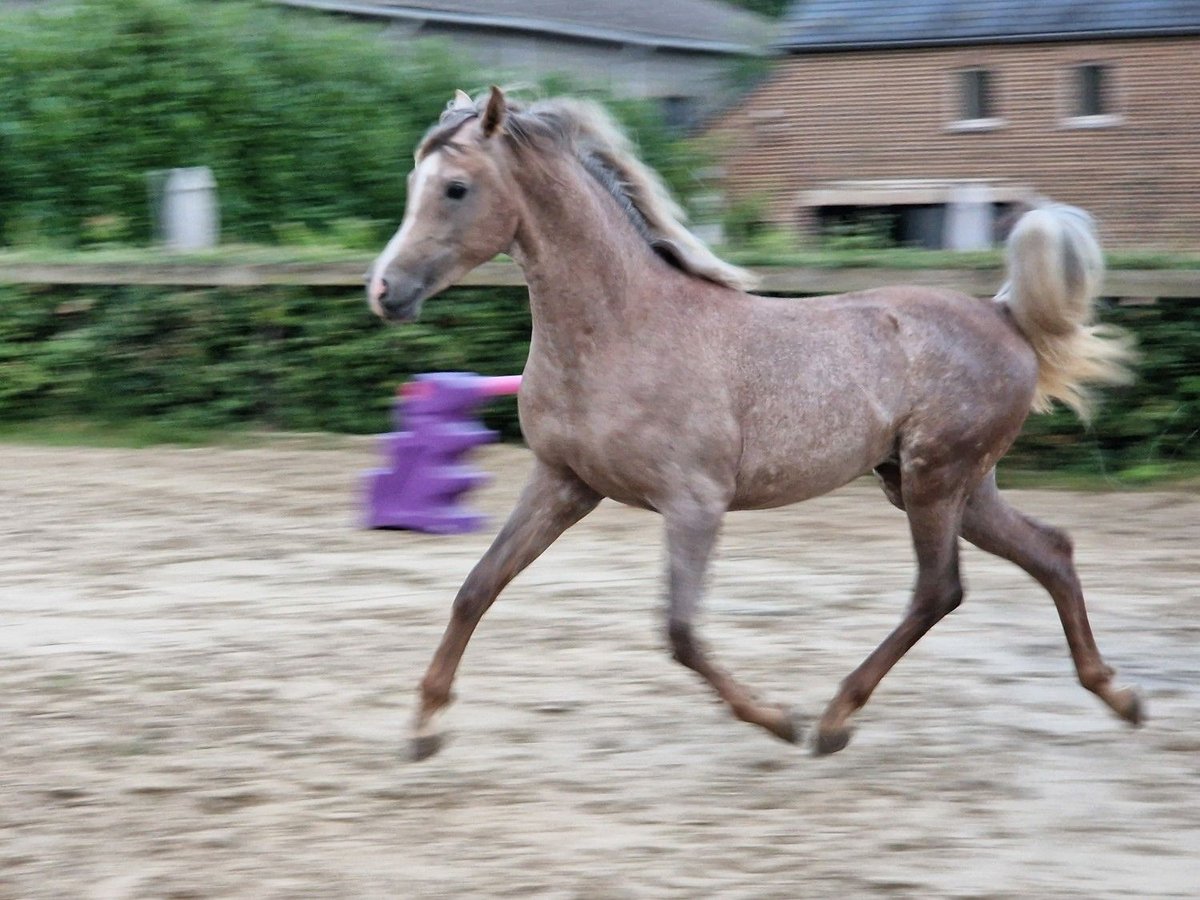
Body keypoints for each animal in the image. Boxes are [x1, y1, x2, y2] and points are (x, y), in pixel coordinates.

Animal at [364, 86, 1142, 763]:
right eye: (410, 180)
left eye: (455, 188)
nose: (385, 291)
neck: (620, 329)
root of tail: (1003, 314)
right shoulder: (562, 484)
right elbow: (477, 587)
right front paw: (424, 727)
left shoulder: (694, 504)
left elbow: (679, 632)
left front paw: (775, 719)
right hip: (948, 486)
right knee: (1050, 552)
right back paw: (1118, 695)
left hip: (936, 480)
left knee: (939, 589)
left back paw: (832, 720)